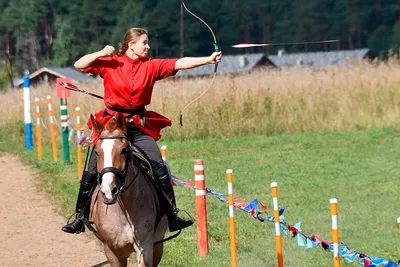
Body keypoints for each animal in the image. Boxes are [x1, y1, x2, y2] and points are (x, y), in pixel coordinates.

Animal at [88, 113, 168, 267]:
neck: (124, 209)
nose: (108, 192)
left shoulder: (145, 247)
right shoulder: (111, 251)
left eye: (124, 150)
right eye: (97, 152)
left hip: (158, 245)